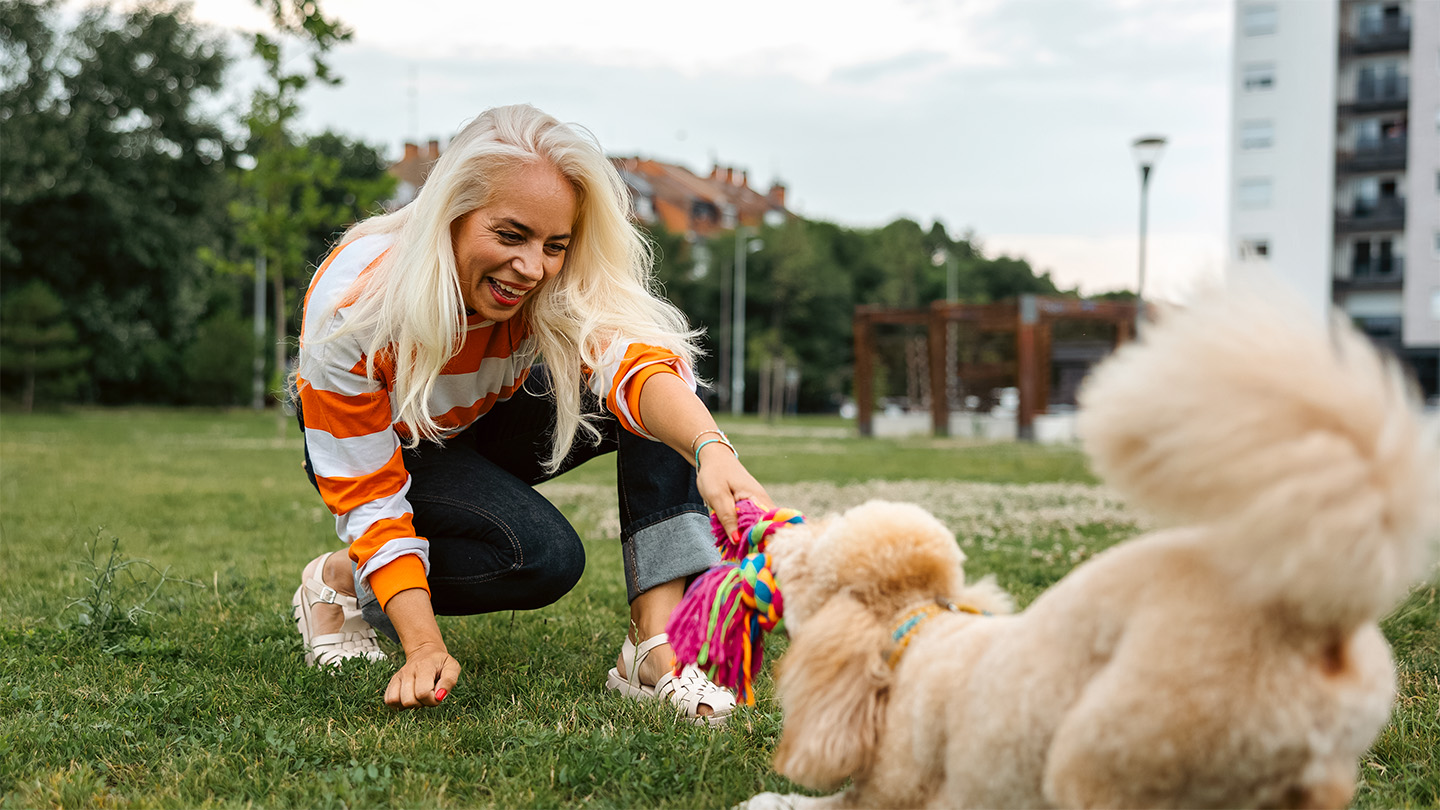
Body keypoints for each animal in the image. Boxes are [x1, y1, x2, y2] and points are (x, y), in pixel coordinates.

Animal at [743, 289, 1440, 807]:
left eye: (812, 557)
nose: (777, 533)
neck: (911, 633)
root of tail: (1316, 619)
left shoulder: (894, 792)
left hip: (1113, 749)